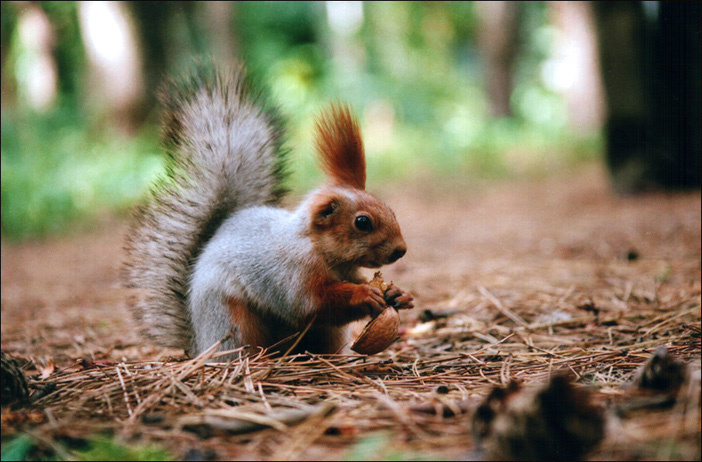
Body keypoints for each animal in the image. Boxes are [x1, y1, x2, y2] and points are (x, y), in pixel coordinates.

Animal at [123, 63, 413, 359]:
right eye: (362, 222)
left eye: (390, 210)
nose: (400, 250)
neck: (320, 249)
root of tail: (199, 344)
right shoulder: (289, 274)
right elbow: (313, 304)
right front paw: (364, 295)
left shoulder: (348, 272)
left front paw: (398, 294)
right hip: (234, 320)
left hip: (326, 335)